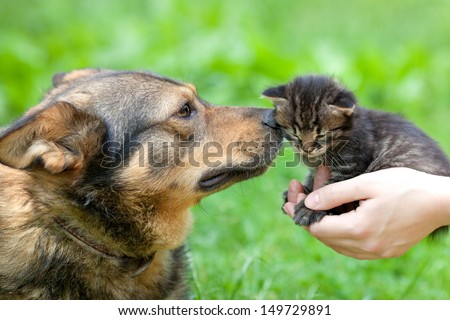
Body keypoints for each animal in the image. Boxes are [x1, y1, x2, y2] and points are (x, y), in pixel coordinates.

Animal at [262, 75, 448, 235]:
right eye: (295, 134)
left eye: (321, 135)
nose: (306, 149)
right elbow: (312, 176)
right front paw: (305, 188)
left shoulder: (351, 166)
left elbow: (328, 187)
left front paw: (310, 207)